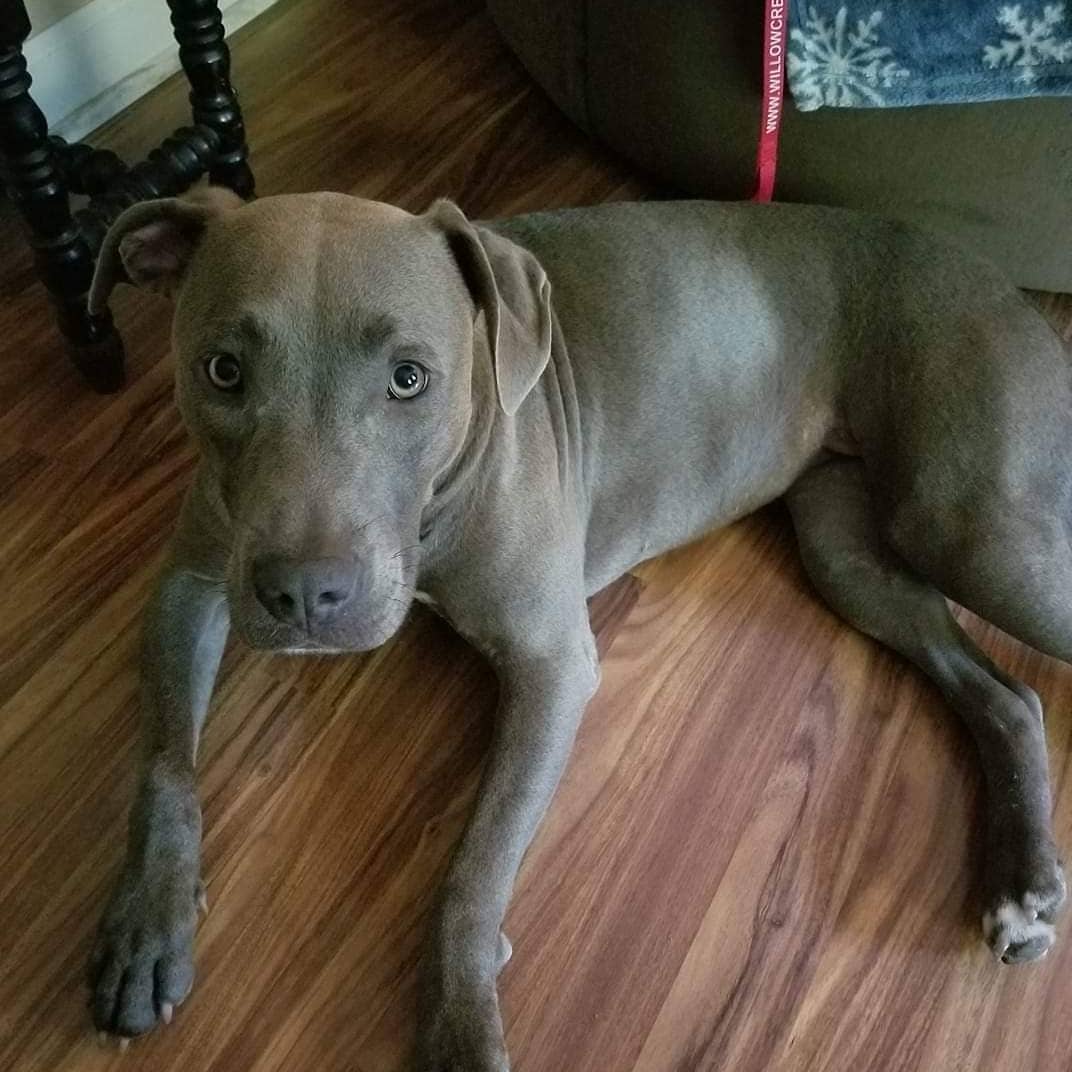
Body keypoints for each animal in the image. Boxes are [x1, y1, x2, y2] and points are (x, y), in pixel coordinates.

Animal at [87, 188, 1067, 1067]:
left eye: (409, 378)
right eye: (222, 370)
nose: (302, 593)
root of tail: (994, 278)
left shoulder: (551, 667)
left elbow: (475, 871)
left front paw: (461, 1025)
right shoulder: (190, 582)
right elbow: (164, 764)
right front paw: (145, 922)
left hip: (971, 524)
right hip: (851, 556)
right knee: (1005, 695)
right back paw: (1021, 884)